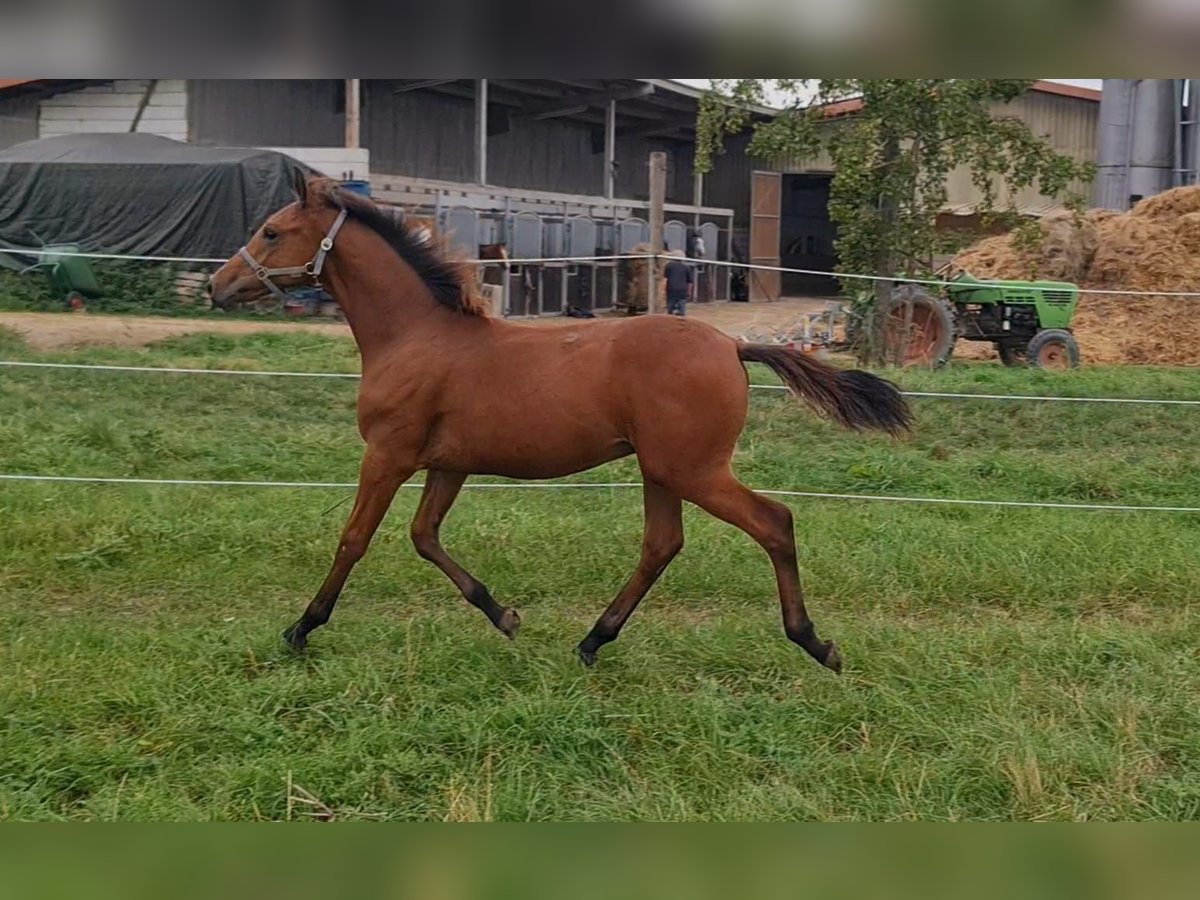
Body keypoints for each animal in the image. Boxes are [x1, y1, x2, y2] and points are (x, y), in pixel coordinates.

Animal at [208, 172, 907, 672]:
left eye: (272, 231)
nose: (218, 286)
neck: (415, 335)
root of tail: (732, 346)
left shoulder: (389, 454)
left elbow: (354, 539)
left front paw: (301, 628)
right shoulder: (448, 464)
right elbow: (424, 536)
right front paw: (505, 616)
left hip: (694, 468)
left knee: (774, 523)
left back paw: (815, 643)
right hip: (663, 470)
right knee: (662, 545)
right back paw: (594, 640)